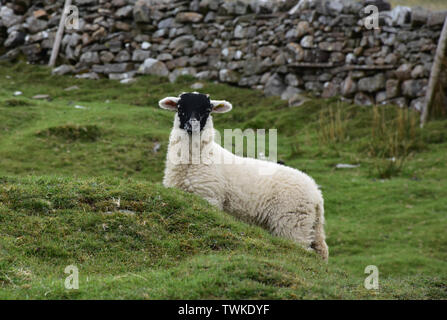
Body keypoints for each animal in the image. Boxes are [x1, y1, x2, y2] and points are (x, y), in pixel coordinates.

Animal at [159, 92, 328, 260]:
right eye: (180, 108)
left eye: (207, 110)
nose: (192, 125)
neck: (191, 163)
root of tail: (316, 194)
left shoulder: (209, 197)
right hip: (311, 226)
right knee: (321, 251)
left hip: (292, 223)